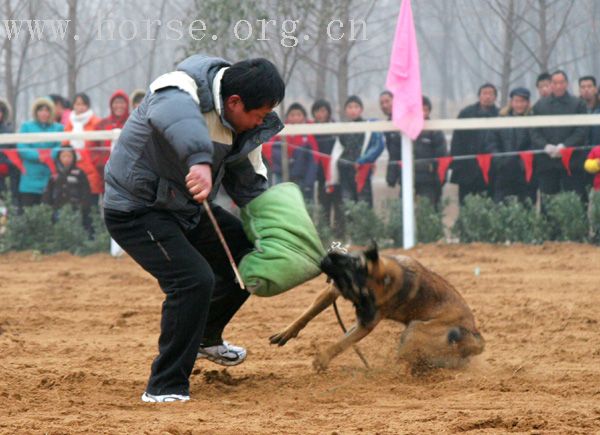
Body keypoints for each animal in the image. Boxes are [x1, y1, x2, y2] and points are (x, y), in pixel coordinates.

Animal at [270, 244, 486, 372]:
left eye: (353, 272)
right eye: (353, 260)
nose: (327, 257)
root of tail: (476, 336)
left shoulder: (367, 323)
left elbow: (341, 343)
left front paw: (322, 359)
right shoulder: (334, 291)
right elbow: (307, 315)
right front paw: (286, 333)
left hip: (415, 330)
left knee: (407, 360)